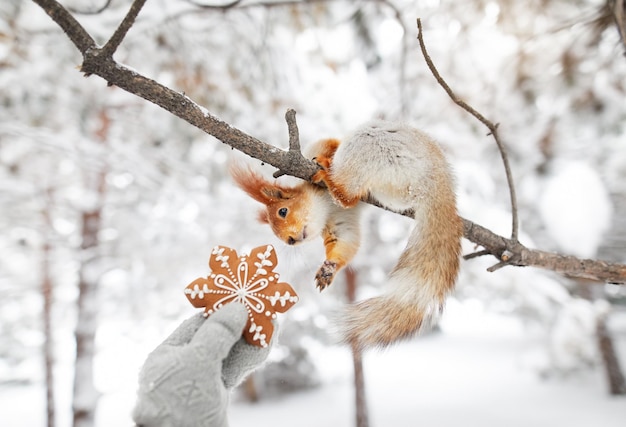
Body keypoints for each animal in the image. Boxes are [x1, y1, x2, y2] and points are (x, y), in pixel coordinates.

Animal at [232, 118, 460, 350]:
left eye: (283, 211)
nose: (291, 240)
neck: (324, 206)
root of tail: (437, 183)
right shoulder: (339, 222)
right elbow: (346, 239)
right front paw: (329, 268)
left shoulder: (324, 147)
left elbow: (329, 146)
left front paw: (325, 160)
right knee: (348, 198)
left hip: (371, 146)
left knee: (347, 188)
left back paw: (326, 173)